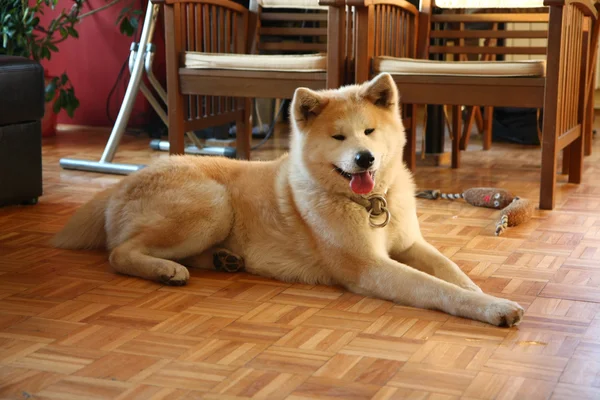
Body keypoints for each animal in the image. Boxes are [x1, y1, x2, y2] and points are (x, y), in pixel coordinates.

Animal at [56, 73, 524, 326]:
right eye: (338, 137)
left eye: (369, 131)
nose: (365, 158)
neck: (369, 204)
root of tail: (120, 184)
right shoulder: (370, 268)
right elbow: (440, 289)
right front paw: (494, 307)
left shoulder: (411, 245)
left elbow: (456, 275)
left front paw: (486, 295)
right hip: (212, 203)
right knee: (120, 252)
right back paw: (165, 269)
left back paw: (224, 259)